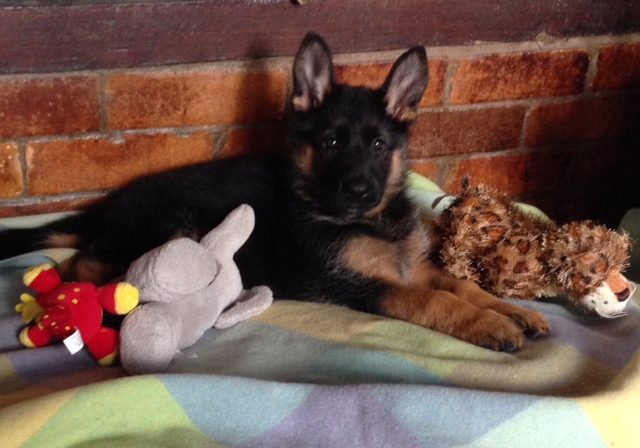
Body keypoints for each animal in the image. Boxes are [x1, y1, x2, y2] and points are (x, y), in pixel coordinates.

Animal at [1, 34, 552, 350]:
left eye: (378, 144)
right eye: (331, 142)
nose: (359, 190)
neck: (368, 219)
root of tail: (104, 210)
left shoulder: (412, 265)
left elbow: (460, 285)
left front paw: (515, 311)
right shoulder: (360, 283)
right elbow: (435, 301)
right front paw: (489, 325)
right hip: (170, 223)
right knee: (80, 265)